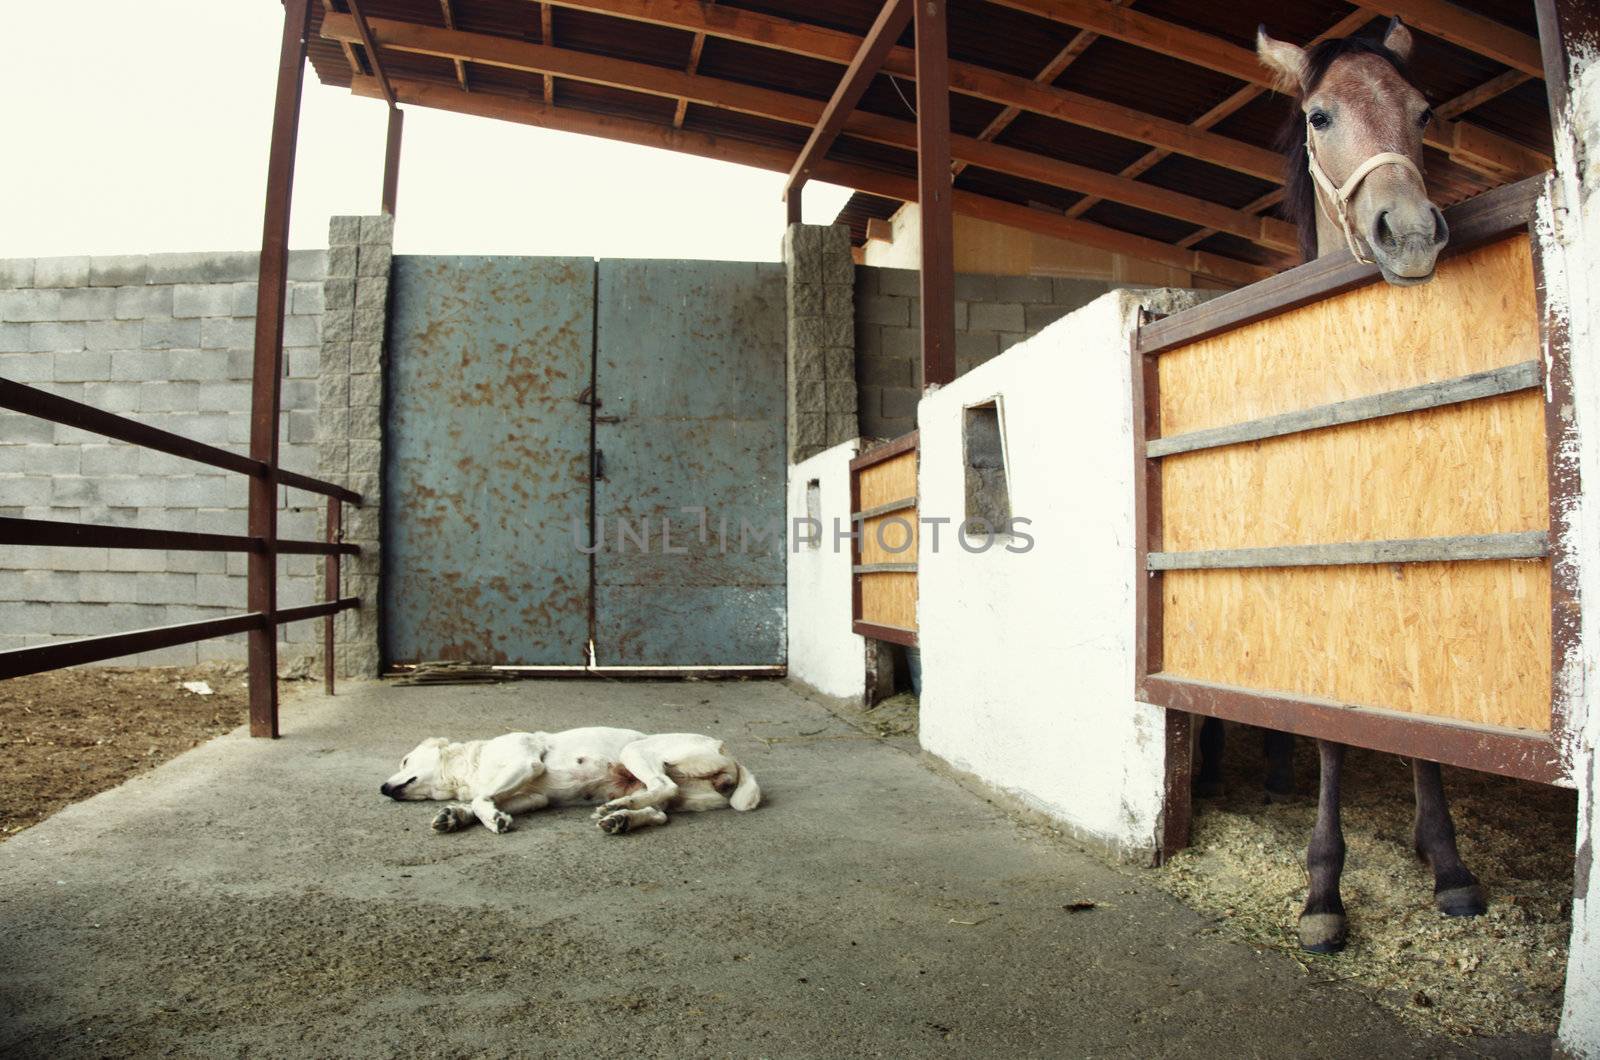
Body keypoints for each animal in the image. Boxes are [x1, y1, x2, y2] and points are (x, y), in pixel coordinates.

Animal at [385, 730, 761, 839]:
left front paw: (491, 820)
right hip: (668, 792)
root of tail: (727, 751)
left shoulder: (524, 761)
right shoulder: (533, 797)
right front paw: (455, 816)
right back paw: (621, 819)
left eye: (403, 761)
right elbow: (479, 801)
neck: (472, 766)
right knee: (660, 812)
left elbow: (480, 800)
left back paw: (616, 810)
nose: (383, 789)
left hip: (635, 752)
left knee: (663, 785)